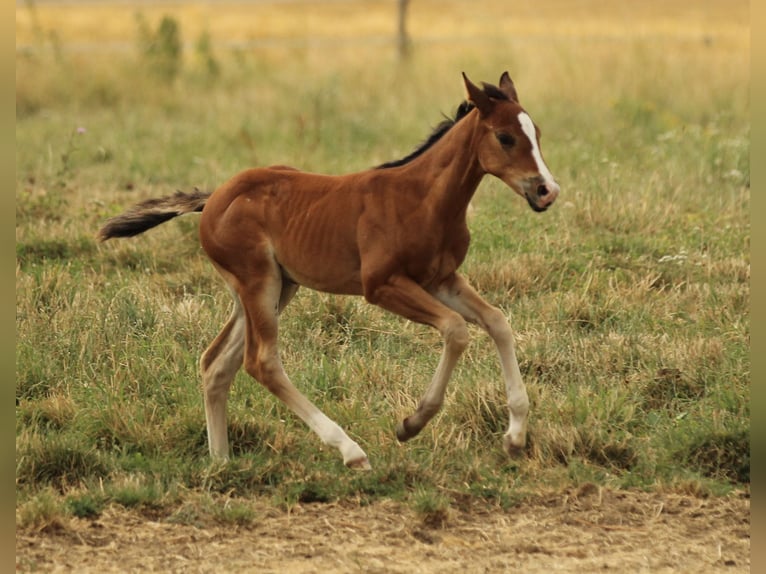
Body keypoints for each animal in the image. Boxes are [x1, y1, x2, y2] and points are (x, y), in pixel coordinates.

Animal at [98, 72, 560, 470]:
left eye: (537, 134)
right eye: (505, 137)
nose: (547, 191)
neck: (423, 199)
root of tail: (213, 199)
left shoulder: (440, 279)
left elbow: (497, 322)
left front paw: (515, 438)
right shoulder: (382, 285)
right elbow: (456, 330)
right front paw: (411, 424)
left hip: (275, 287)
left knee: (216, 363)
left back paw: (221, 462)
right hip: (258, 282)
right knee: (261, 362)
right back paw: (350, 450)